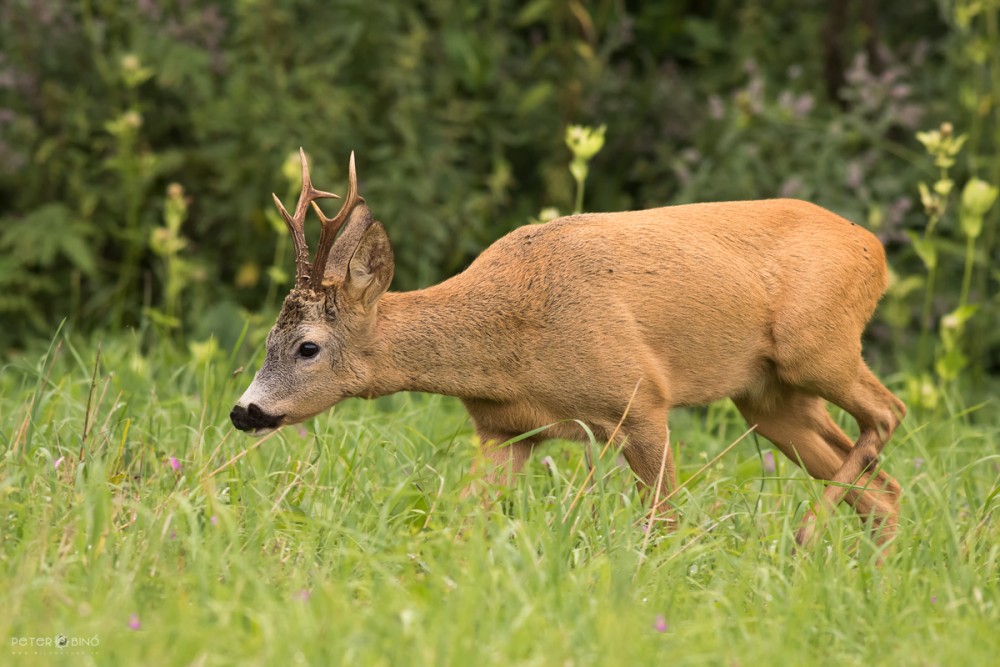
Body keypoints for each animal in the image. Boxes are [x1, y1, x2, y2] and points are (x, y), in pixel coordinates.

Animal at [232, 150, 908, 548]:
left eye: (308, 347)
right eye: (267, 340)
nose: (244, 411)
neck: (508, 351)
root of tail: (874, 248)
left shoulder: (640, 399)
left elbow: (664, 521)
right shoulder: (504, 433)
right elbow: (458, 521)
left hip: (814, 345)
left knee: (889, 412)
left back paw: (807, 532)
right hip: (767, 395)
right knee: (881, 487)